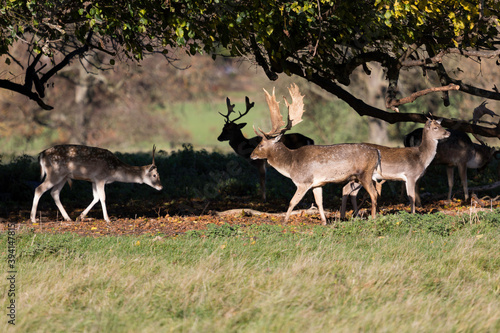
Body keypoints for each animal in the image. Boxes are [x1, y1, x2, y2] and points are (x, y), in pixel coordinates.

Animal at [30, 144, 162, 222]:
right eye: (155, 175)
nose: (161, 187)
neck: (114, 170)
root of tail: (41, 155)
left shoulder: (93, 180)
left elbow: (96, 197)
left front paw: (81, 216)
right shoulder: (100, 178)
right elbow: (102, 197)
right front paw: (107, 219)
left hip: (63, 177)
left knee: (54, 193)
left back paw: (68, 218)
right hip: (55, 173)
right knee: (39, 189)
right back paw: (33, 219)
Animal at [250, 83, 378, 224]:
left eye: (261, 145)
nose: (251, 155)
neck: (290, 165)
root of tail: (376, 153)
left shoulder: (304, 181)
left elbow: (292, 202)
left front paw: (284, 221)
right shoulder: (317, 184)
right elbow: (319, 202)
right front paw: (324, 222)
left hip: (365, 174)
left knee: (374, 194)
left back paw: (373, 219)